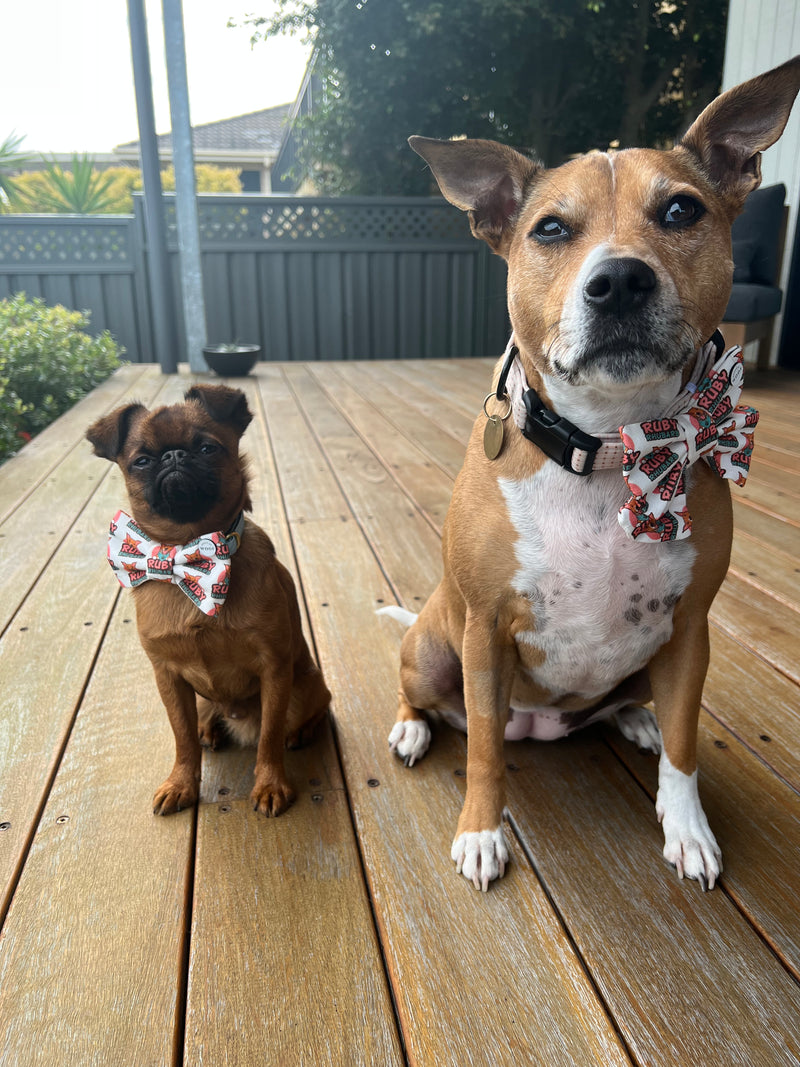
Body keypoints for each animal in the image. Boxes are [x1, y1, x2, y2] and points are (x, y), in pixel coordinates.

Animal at [84, 384, 328, 815]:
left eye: (207, 448)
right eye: (140, 461)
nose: (174, 455)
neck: (188, 552)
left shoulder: (275, 669)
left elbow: (269, 737)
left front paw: (270, 785)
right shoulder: (168, 677)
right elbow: (181, 738)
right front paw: (181, 783)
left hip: (305, 686)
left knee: (308, 713)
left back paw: (301, 733)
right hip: (199, 696)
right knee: (202, 718)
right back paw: (208, 729)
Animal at [384, 58, 800, 892]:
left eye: (681, 210)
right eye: (550, 228)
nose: (620, 281)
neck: (609, 448)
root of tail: (540, 724)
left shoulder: (690, 630)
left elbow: (687, 742)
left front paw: (688, 827)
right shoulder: (485, 632)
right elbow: (484, 749)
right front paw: (481, 831)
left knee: (632, 705)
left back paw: (635, 716)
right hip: (437, 646)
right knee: (425, 695)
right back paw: (412, 729)